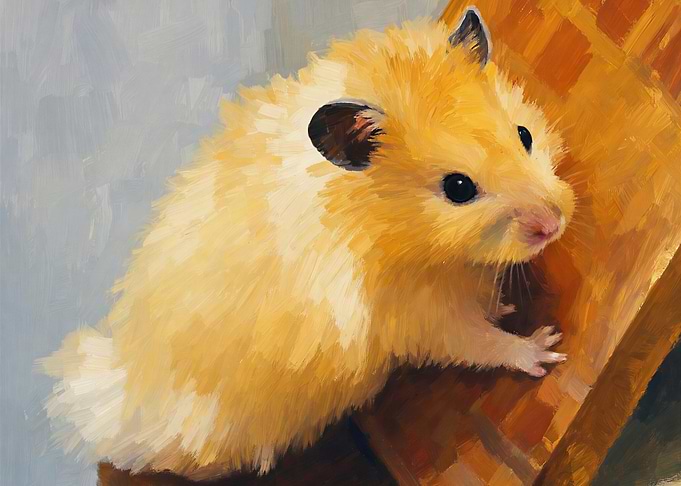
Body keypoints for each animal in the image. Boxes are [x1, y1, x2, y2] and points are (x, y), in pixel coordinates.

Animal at [39, 8, 574, 480]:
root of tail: (120, 396)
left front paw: (506, 307)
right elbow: (480, 342)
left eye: (524, 134)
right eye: (458, 188)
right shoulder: (419, 317)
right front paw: (545, 347)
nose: (554, 224)